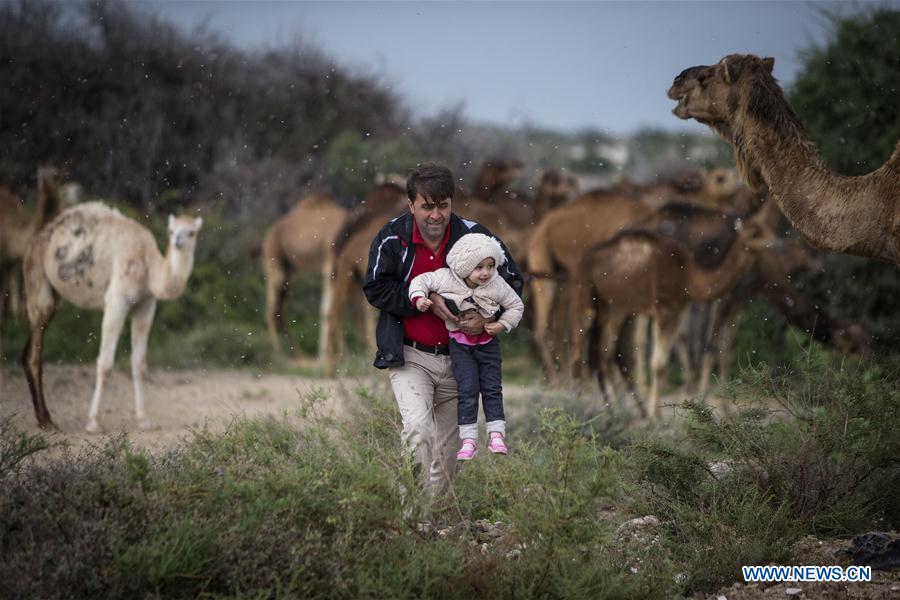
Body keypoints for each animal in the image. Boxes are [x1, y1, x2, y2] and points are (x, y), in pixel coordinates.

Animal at [20, 203, 204, 432]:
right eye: (172, 231)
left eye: (192, 232)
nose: (178, 241)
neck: (147, 264)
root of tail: (37, 238)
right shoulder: (116, 301)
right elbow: (105, 363)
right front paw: (93, 422)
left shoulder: (146, 304)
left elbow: (139, 363)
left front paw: (144, 420)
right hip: (36, 275)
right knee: (35, 348)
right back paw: (46, 420)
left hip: (53, 293)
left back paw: (43, 418)